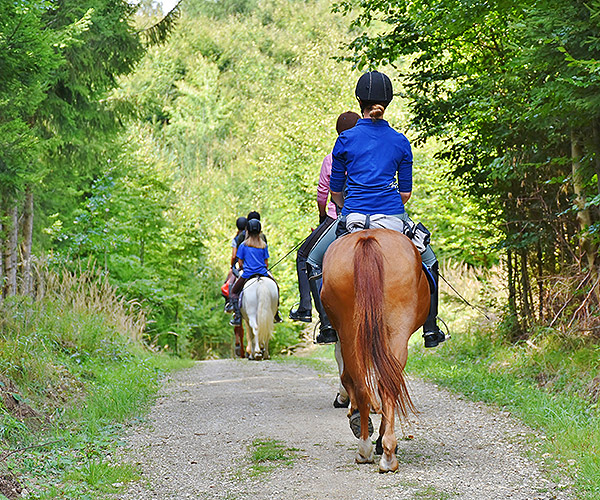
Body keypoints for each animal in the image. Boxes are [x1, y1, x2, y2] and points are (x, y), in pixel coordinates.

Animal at [322, 229, 428, 470]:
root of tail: (367, 238)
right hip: (393, 332)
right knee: (384, 384)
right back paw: (382, 450)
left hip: (354, 331)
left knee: (368, 384)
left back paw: (370, 447)